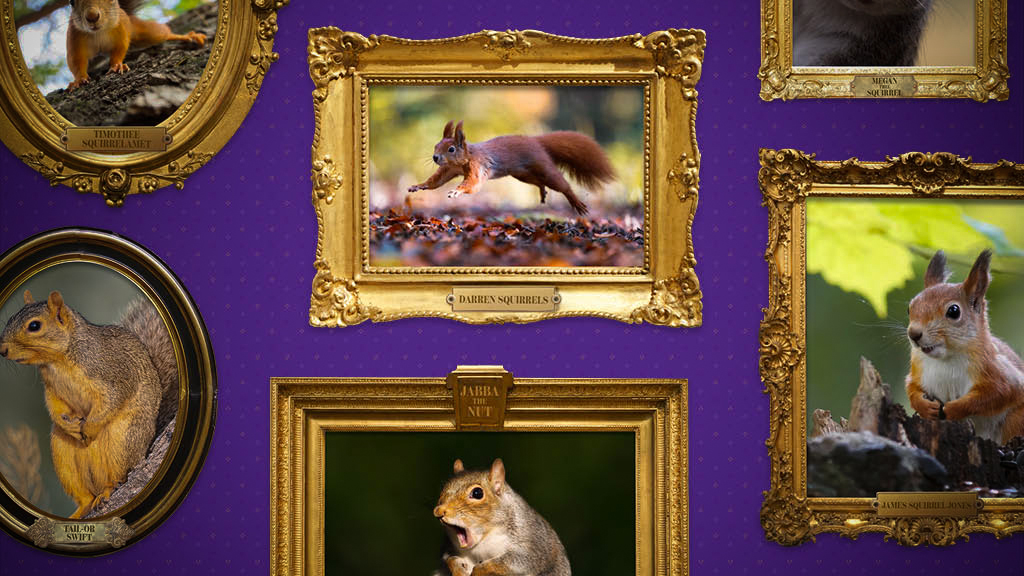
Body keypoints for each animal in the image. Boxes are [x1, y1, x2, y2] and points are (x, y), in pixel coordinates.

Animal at [0, 290, 178, 518]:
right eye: (11, 318)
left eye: (34, 326)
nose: (3, 350)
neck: (58, 361)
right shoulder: (52, 389)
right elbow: (54, 405)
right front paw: (66, 423)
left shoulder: (112, 374)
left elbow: (112, 399)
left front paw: (90, 428)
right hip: (62, 451)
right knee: (84, 496)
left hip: (123, 441)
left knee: (119, 477)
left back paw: (107, 490)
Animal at [66, 0, 207, 90]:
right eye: (71, 1)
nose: (92, 16)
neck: (98, 33)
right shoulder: (74, 39)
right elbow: (76, 62)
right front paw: (79, 80)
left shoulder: (121, 31)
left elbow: (120, 49)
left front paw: (117, 65)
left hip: (146, 32)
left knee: (164, 33)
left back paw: (189, 36)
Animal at [407, 120, 616, 216]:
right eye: (436, 146)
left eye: (451, 149)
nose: (435, 157)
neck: (464, 159)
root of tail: (536, 141)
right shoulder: (450, 169)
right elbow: (436, 181)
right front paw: (419, 186)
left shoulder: (477, 167)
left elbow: (472, 185)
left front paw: (456, 191)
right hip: (522, 174)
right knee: (538, 182)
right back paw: (542, 192)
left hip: (543, 166)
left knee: (561, 185)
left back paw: (576, 202)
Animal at [432, 458, 571, 576]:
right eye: (443, 490)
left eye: (477, 493)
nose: (439, 511)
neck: (483, 541)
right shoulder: (449, 547)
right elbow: (449, 559)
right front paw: (458, 569)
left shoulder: (533, 544)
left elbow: (518, 561)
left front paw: (479, 570)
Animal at [905, 250, 1024, 444]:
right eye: (910, 308)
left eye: (954, 311)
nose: (914, 334)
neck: (946, 358)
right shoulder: (917, 370)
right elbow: (912, 388)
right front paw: (923, 406)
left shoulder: (999, 373)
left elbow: (997, 393)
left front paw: (954, 408)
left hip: (1016, 419)